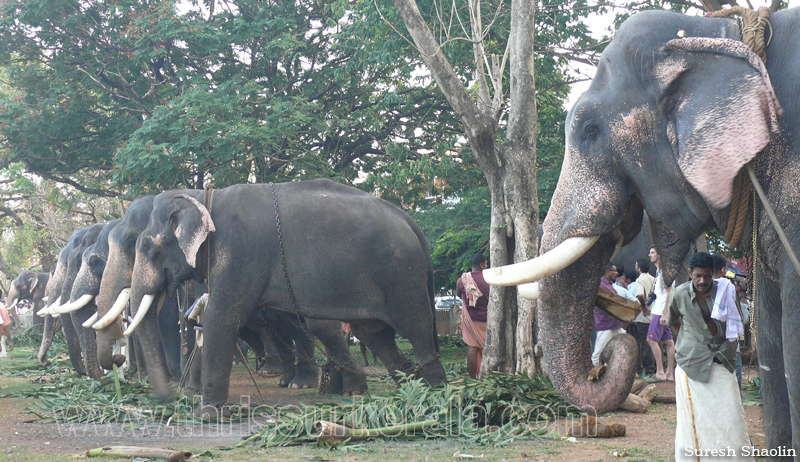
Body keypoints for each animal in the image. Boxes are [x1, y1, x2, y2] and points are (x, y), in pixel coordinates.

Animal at [128, 179, 446, 414]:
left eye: (146, 247)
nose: (167, 398)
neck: (204, 197)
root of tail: (411, 222)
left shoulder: (239, 253)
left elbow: (221, 317)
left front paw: (208, 414)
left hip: (401, 276)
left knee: (415, 326)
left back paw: (432, 394)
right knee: (375, 334)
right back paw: (407, 388)